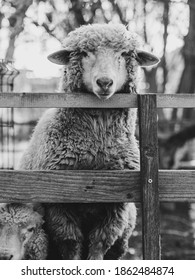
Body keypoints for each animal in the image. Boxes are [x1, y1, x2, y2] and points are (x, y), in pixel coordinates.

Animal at [18, 24, 159, 260]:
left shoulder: (116, 204)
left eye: (124, 54)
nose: (104, 82)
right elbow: (70, 244)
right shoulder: (58, 202)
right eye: (84, 53)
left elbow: (99, 243)